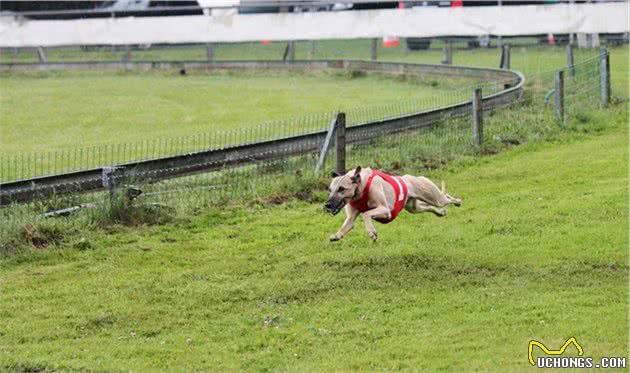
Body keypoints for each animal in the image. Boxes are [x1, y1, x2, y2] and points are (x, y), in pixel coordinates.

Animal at [328, 166, 462, 241]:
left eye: (341, 189)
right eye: (330, 190)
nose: (327, 205)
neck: (361, 188)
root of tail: (413, 177)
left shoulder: (385, 210)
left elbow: (366, 214)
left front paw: (372, 233)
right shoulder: (351, 217)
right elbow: (347, 225)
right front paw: (337, 235)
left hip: (435, 198)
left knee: (445, 197)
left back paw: (458, 202)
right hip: (413, 208)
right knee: (428, 207)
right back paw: (441, 212)